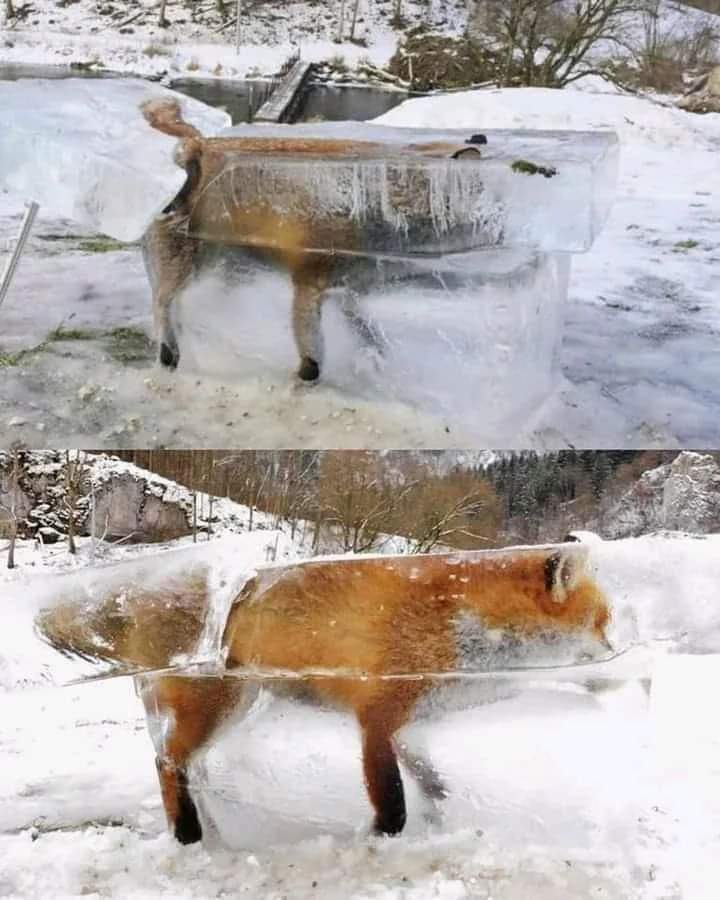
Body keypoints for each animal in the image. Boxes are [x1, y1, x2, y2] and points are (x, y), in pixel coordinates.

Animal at [36, 543, 611, 845]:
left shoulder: (411, 724)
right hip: (218, 704)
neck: (455, 623)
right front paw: (381, 837)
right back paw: (190, 833)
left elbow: (431, 781)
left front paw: (442, 814)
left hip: (234, 709)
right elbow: (393, 800)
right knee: (166, 763)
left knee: (179, 761)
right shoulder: (376, 717)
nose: (615, 656)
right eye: (603, 625)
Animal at [140, 99, 486, 382]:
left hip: (227, 264)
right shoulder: (309, 280)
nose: (478, 137)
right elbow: (313, 351)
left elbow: (368, 330)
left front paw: (374, 357)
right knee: (161, 296)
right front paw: (307, 377)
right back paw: (169, 349)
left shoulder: (347, 288)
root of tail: (200, 143)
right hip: (193, 260)